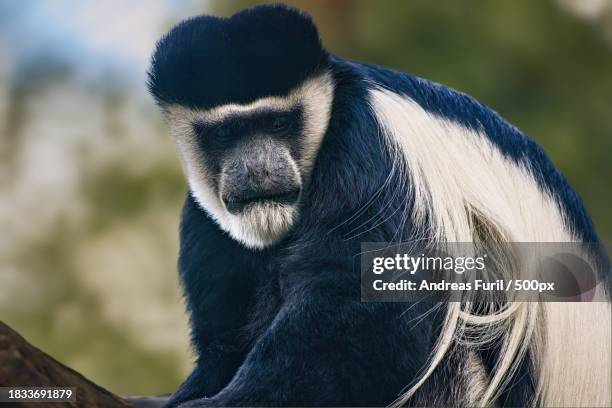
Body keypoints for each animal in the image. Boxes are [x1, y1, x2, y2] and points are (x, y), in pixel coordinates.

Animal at [149, 3, 612, 408]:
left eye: (278, 122)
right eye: (225, 133)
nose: (259, 171)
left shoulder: (370, 152)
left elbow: (365, 300)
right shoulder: (205, 216)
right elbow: (226, 336)